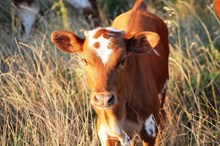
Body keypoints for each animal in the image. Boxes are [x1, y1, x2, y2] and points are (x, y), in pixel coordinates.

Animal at [50, 0, 169, 145]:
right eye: (85, 60)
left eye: (123, 60)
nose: (104, 99)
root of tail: (138, 8)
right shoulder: (105, 132)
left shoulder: (149, 128)